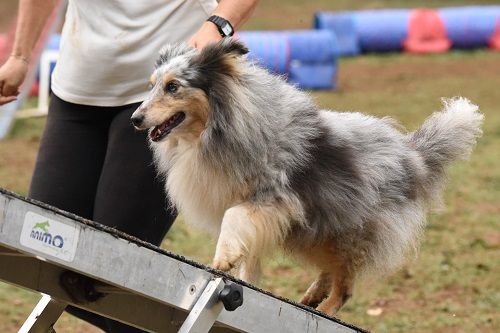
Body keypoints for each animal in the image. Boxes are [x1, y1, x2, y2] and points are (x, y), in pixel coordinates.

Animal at [131, 38, 482, 314]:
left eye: (173, 87)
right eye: (152, 85)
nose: (135, 119)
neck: (219, 127)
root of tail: (414, 155)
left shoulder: (272, 199)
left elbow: (233, 220)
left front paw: (222, 261)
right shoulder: (265, 216)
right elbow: (249, 255)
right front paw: (243, 279)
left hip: (350, 230)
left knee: (345, 286)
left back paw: (325, 310)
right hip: (320, 228)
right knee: (331, 271)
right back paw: (312, 296)